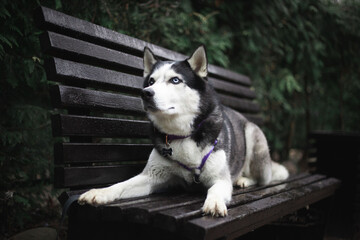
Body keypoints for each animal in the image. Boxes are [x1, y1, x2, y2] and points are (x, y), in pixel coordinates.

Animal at [79, 45, 290, 218]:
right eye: (151, 81)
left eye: (175, 80)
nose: (145, 93)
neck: (182, 135)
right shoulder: (151, 177)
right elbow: (121, 185)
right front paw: (99, 192)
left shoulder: (220, 179)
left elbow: (216, 188)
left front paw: (214, 202)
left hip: (254, 139)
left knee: (263, 178)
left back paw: (243, 179)